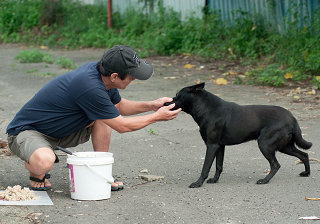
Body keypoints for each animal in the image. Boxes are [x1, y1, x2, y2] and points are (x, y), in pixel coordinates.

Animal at [166, 82, 312, 187]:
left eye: (177, 94)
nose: (166, 102)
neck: (207, 108)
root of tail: (292, 118)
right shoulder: (220, 146)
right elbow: (219, 166)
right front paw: (214, 180)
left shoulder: (211, 145)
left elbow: (205, 168)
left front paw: (198, 183)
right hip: (284, 146)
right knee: (304, 155)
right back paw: (306, 173)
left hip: (265, 144)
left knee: (276, 165)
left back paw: (264, 180)